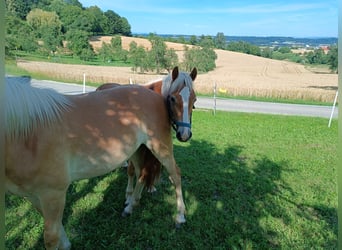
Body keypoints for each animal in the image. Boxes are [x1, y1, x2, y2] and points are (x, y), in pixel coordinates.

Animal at [97, 66, 196, 213]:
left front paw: (147, 189)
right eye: (172, 99)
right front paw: (129, 197)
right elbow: (133, 171)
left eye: (194, 100)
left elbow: (148, 169)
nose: (184, 134)